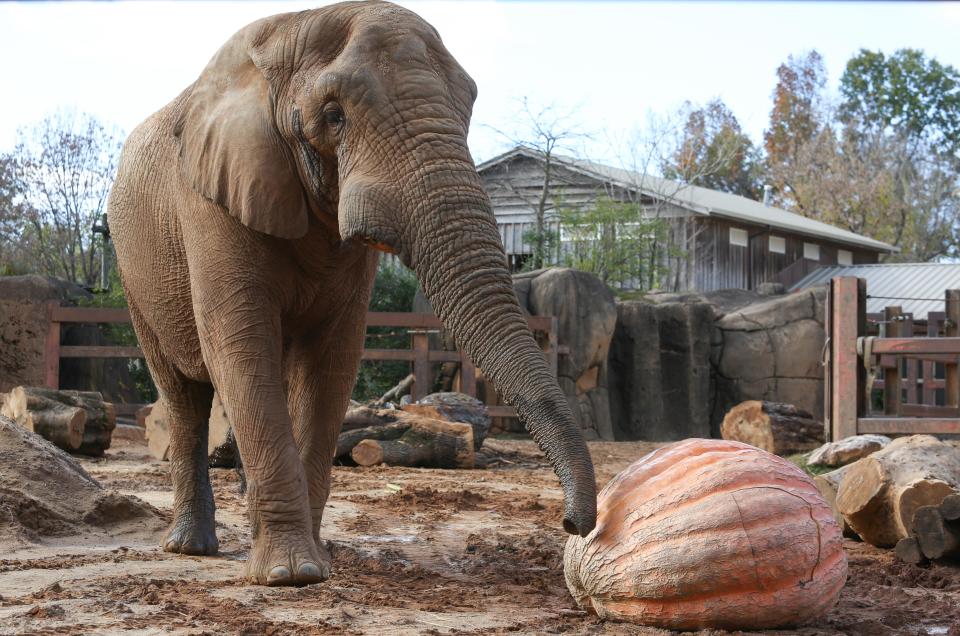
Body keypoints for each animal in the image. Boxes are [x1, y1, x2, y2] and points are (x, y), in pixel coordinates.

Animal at [109, 1, 596, 588]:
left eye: (469, 106)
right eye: (333, 115)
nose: (573, 524)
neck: (288, 30)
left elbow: (332, 358)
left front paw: (318, 563)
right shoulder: (207, 201)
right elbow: (240, 343)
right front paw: (291, 575)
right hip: (133, 270)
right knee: (183, 394)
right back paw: (191, 548)